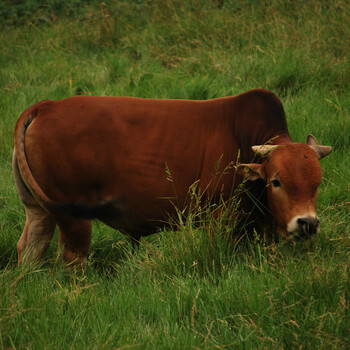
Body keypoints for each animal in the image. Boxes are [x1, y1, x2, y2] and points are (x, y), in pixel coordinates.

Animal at [13, 89, 330, 264]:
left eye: (317, 184)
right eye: (276, 181)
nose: (307, 223)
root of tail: (47, 105)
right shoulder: (219, 219)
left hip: (38, 210)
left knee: (30, 247)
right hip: (74, 219)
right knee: (72, 257)